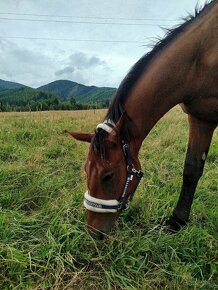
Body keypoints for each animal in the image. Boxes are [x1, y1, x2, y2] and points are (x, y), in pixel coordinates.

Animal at [68, 1, 218, 239]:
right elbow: (191, 169)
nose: (93, 233)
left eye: (108, 176)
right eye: (85, 169)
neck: (202, 56)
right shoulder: (201, 119)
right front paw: (177, 221)